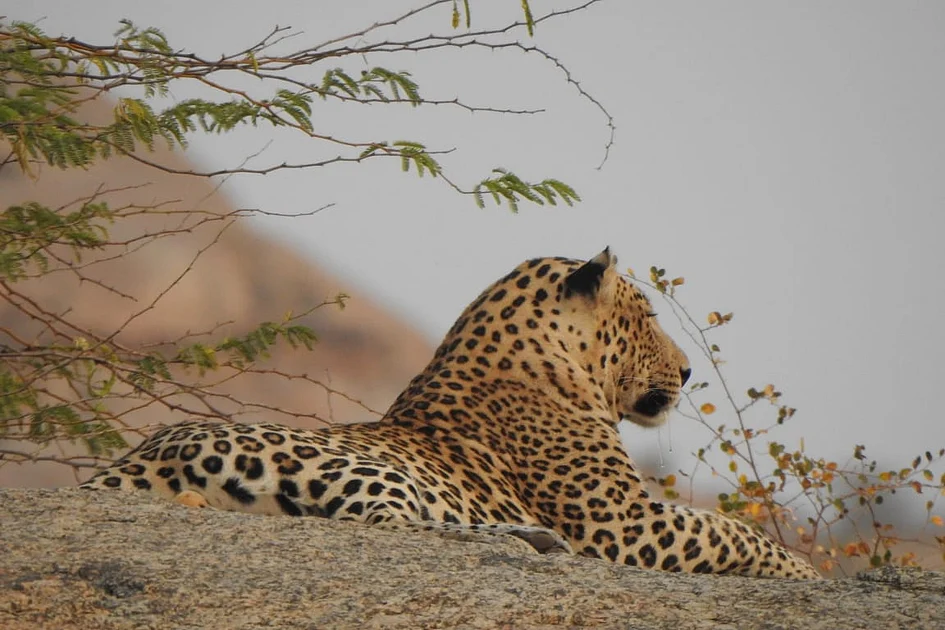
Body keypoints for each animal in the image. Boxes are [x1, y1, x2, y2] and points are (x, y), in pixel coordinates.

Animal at [80, 248, 821, 579]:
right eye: (644, 317)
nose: (689, 371)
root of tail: (138, 459)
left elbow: (725, 527)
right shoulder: (619, 521)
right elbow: (732, 530)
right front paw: (802, 572)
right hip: (365, 471)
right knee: (390, 528)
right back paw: (527, 538)